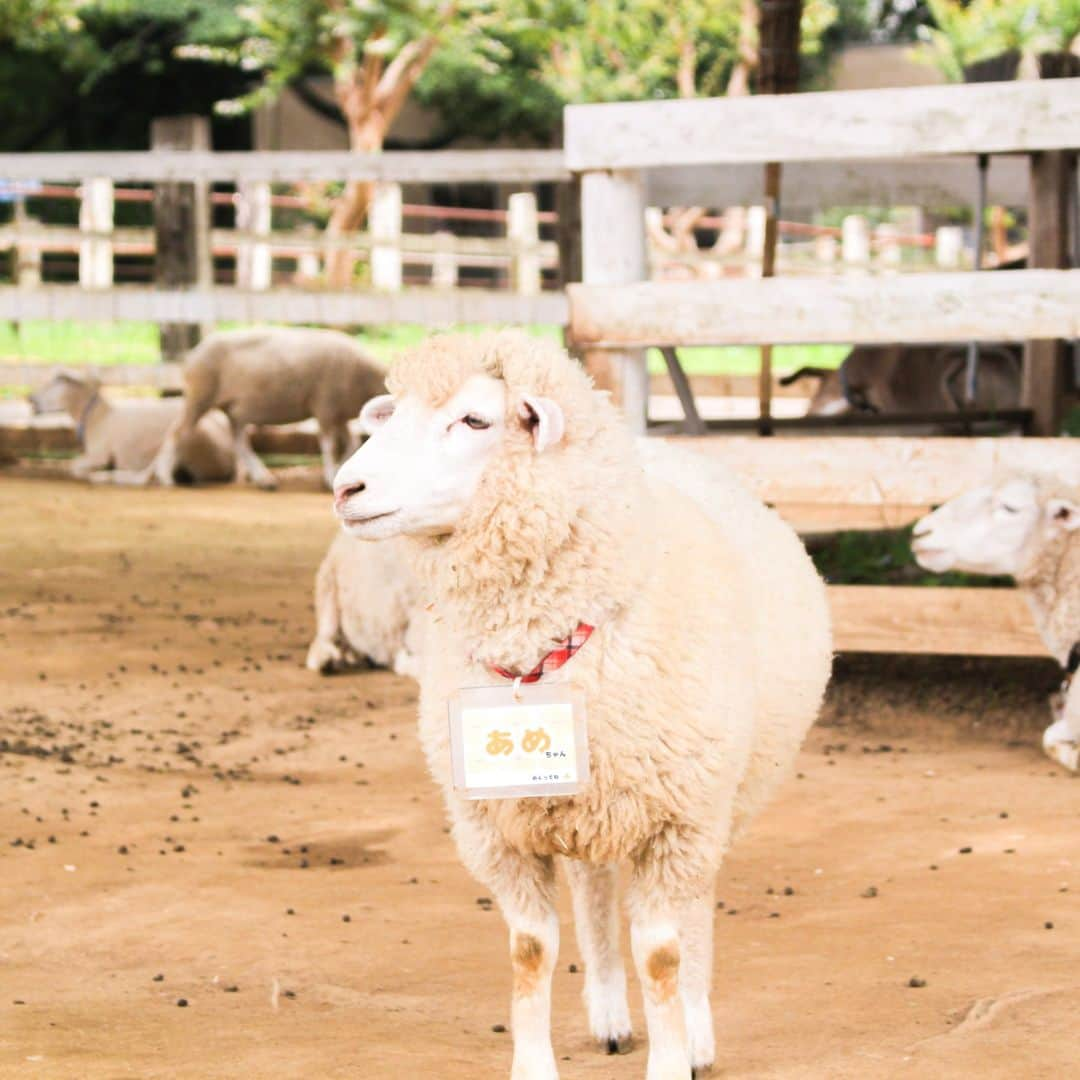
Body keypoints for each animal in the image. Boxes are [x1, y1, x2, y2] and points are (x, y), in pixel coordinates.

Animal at [29, 373, 234, 488]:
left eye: (58, 381)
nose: (31, 399)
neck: (99, 417)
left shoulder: (99, 454)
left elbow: (75, 466)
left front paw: (92, 471)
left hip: (181, 437)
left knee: (148, 478)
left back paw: (104, 476)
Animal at [150, 321, 386, 488]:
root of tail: (191, 356)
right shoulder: (324, 406)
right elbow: (329, 446)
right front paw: (330, 478)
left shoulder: (338, 414)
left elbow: (353, 443)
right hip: (200, 396)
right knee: (178, 432)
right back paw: (165, 477)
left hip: (233, 409)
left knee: (239, 442)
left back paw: (263, 479)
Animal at [328, 332, 833, 1075]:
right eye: (392, 415)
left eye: (475, 420)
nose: (346, 488)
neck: (539, 661)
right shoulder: (501, 833)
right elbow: (531, 952)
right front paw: (535, 1064)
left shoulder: (678, 822)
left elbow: (662, 955)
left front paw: (674, 1056)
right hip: (587, 802)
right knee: (595, 893)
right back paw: (609, 1015)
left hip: (717, 803)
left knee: (694, 910)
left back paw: (697, 1029)